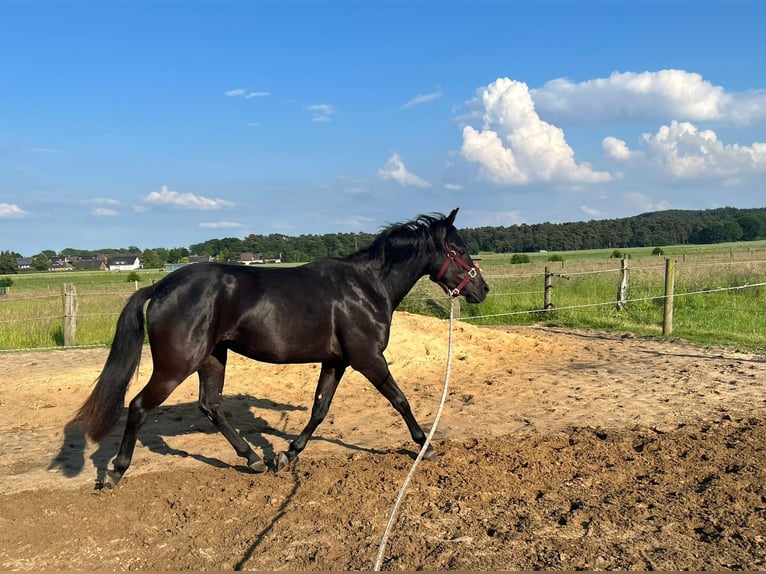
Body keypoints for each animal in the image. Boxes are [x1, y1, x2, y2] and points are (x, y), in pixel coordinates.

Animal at [73, 207, 492, 486]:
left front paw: (287, 454)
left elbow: (320, 409)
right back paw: (115, 472)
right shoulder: (368, 359)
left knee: (211, 406)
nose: (482, 289)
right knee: (139, 406)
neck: (367, 287)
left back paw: (254, 459)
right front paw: (426, 445)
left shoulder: (337, 362)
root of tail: (160, 287)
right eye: (458, 249)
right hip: (176, 365)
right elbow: (400, 399)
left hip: (213, 358)